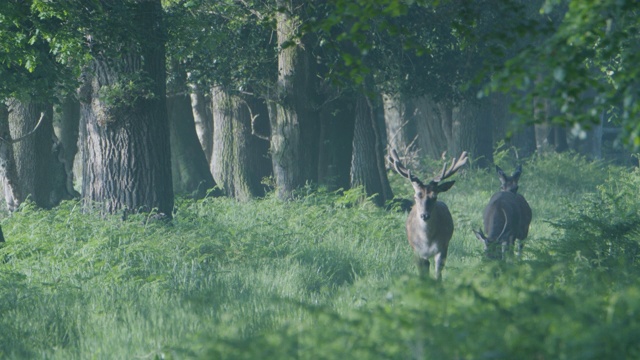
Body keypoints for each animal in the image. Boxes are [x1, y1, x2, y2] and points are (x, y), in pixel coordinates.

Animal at [388, 149, 468, 282]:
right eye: (416, 196)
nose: (424, 215)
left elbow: (438, 274)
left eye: (434, 197)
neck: (427, 241)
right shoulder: (417, 251)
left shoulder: (442, 247)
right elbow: (423, 274)